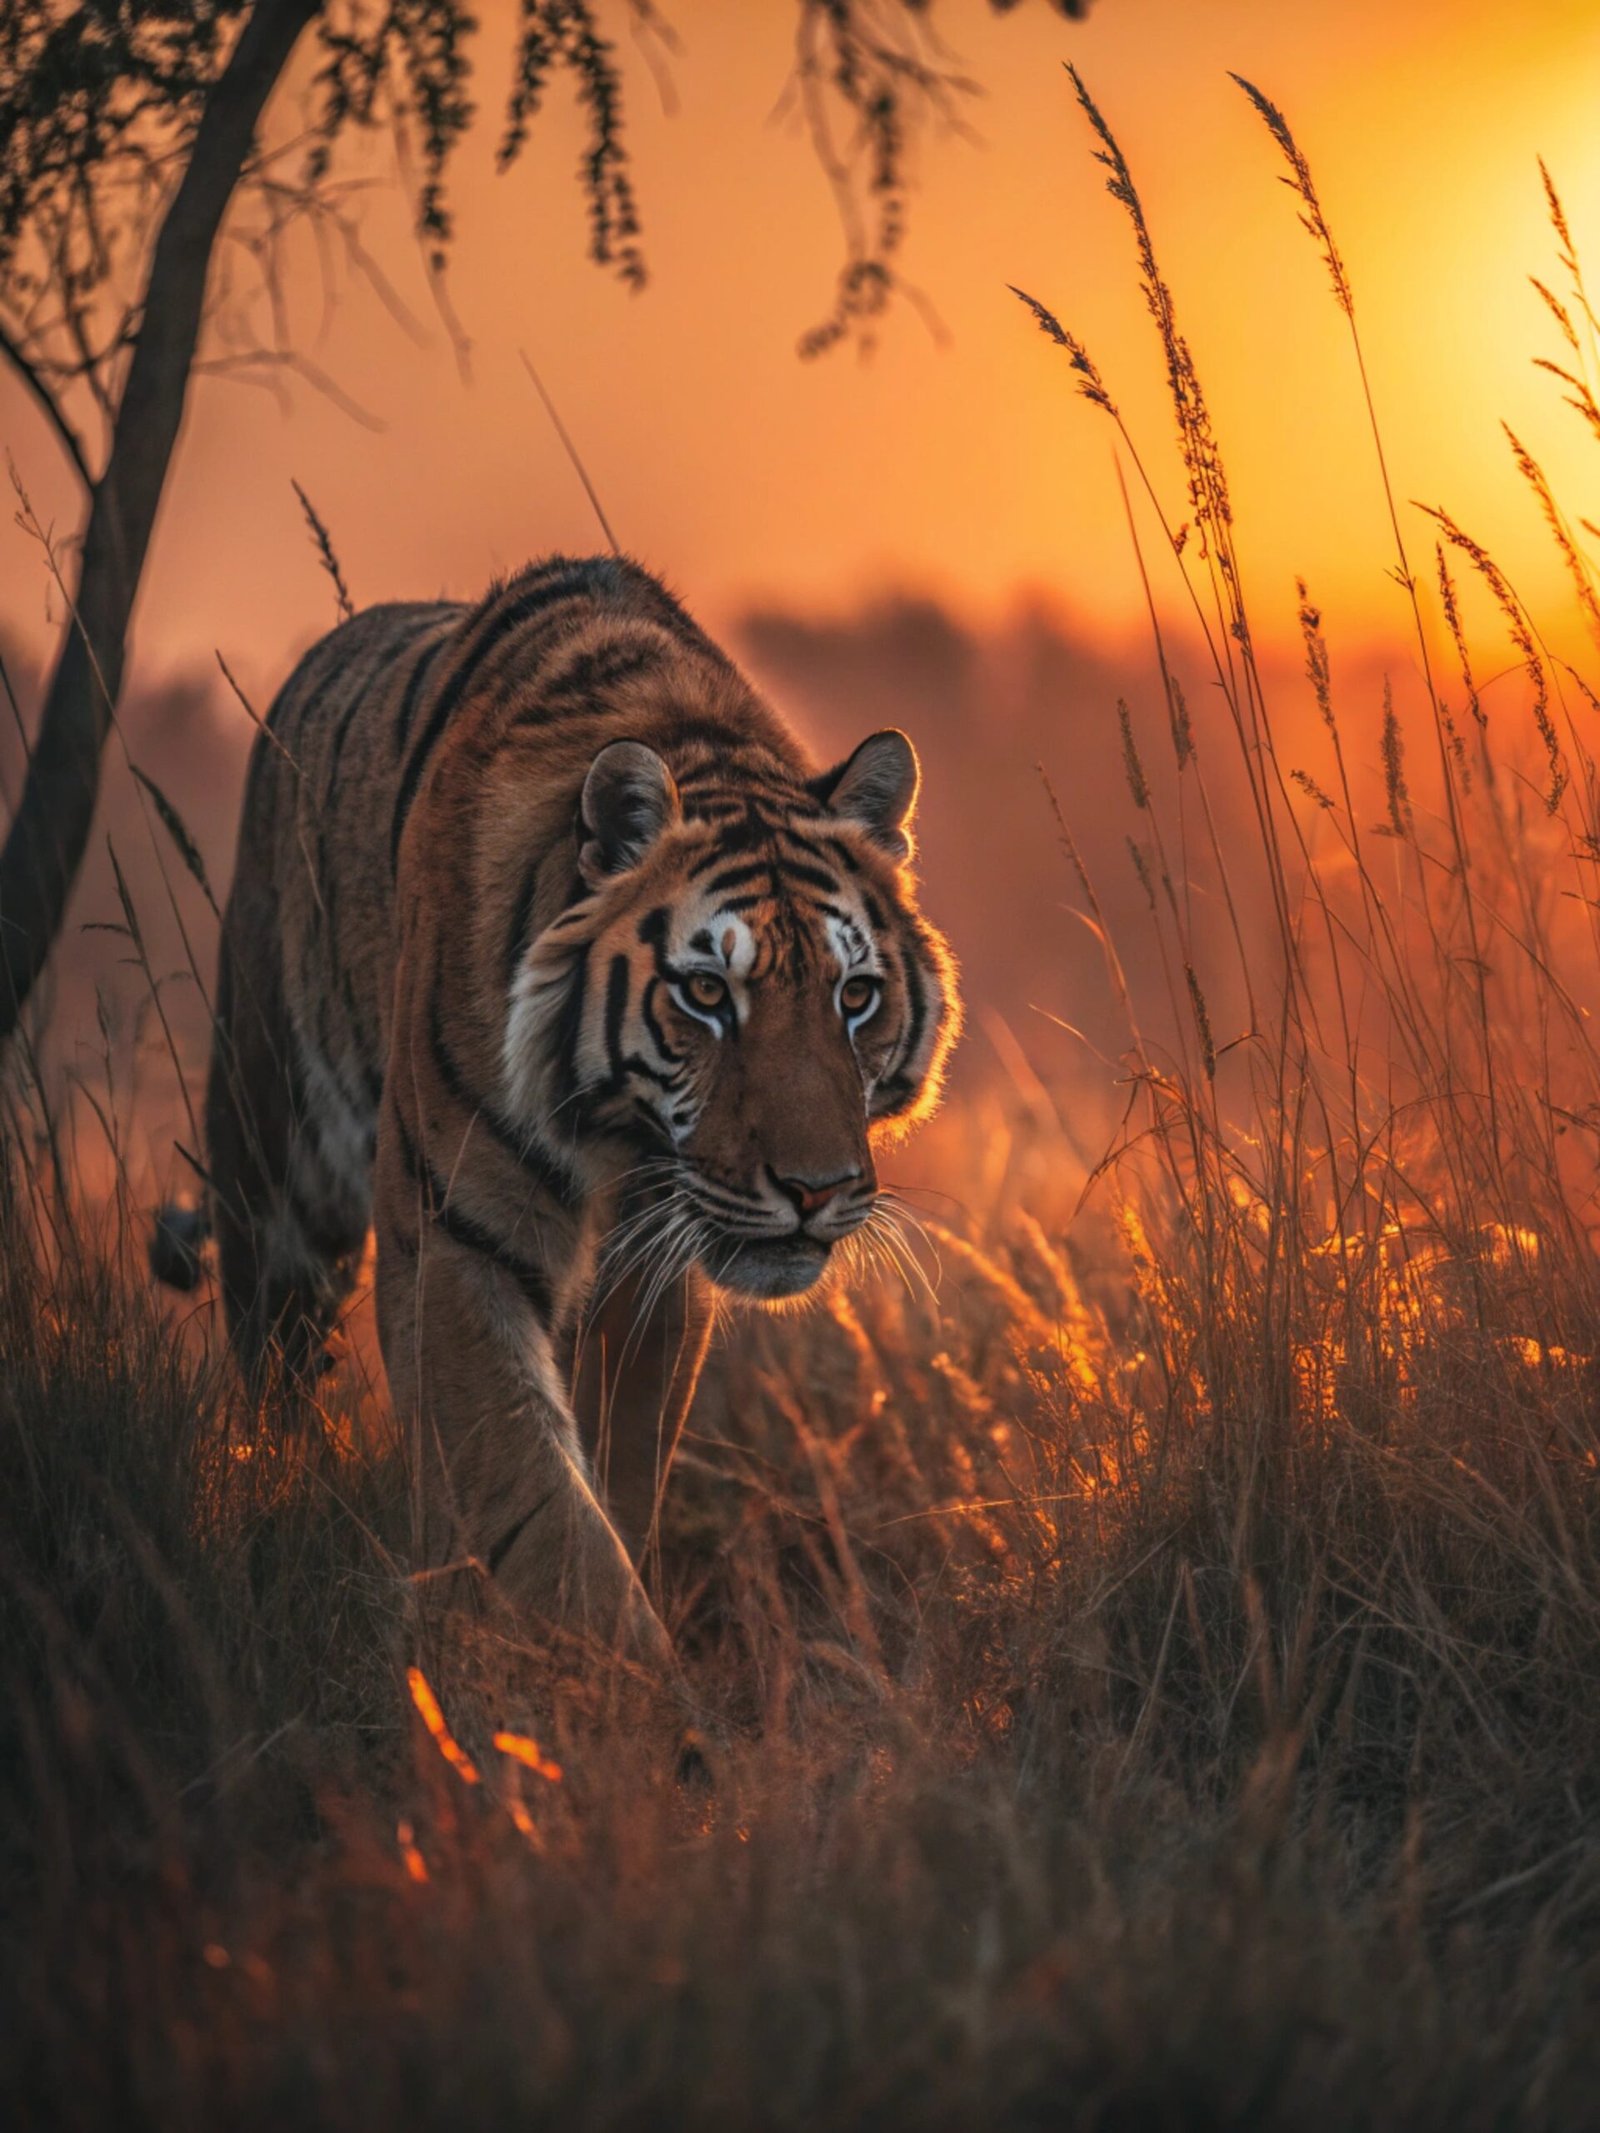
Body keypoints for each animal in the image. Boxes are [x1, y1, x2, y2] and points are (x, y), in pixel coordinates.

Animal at [196, 554, 959, 1666]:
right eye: (707, 994)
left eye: (852, 997)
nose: (816, 1193)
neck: (619, 1140)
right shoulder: (456, 1235)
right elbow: (534, 1499)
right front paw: (624, 1685)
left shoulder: (655, 1281)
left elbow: (615, 1476)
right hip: (272, 1158)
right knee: (270, 1362)